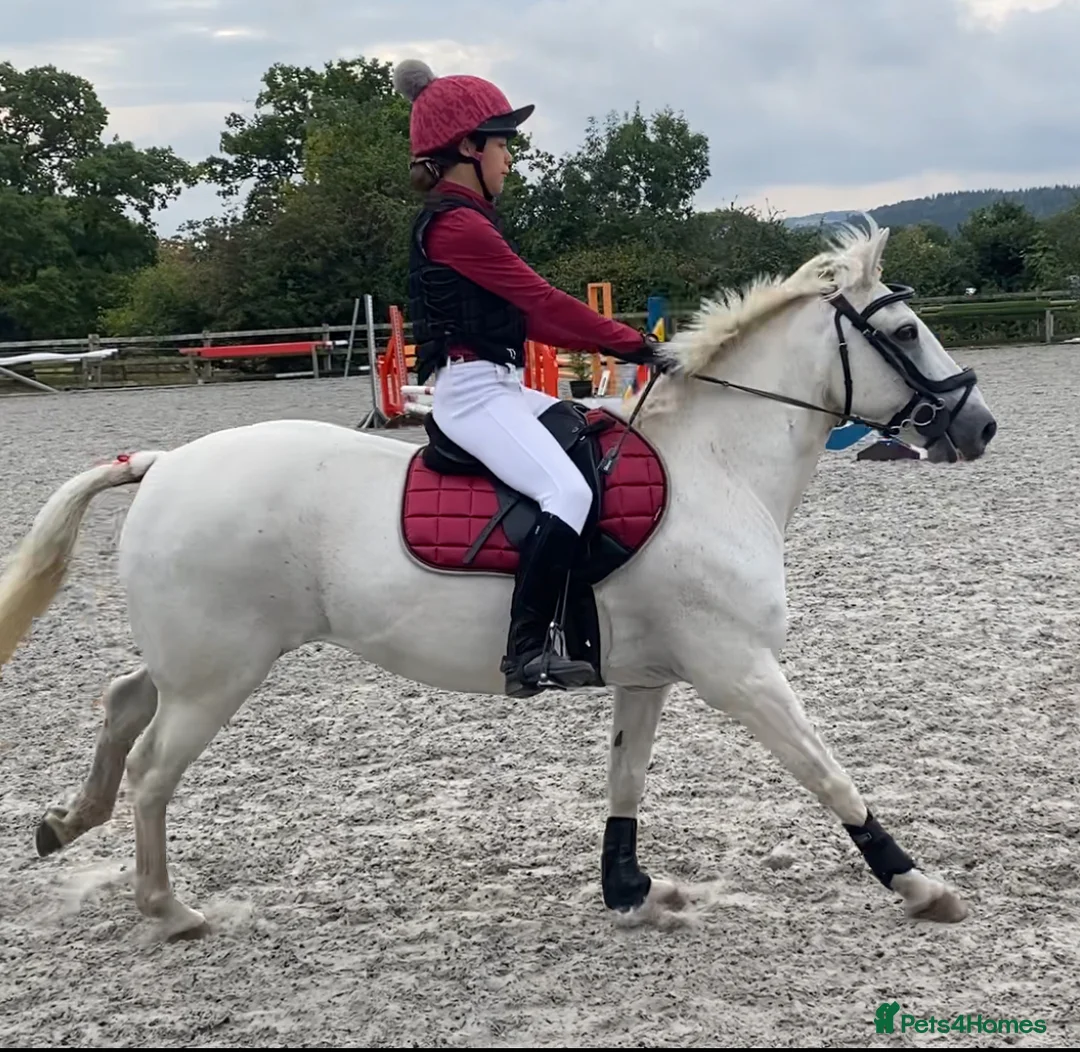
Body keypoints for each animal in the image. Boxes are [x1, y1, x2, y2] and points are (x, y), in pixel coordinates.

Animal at [0, 218, 998, 940]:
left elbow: (626, 780)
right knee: (153, 769)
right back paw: (168, 910)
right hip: (220, 672)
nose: (979, 425)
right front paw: (921, 886)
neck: (716, 465)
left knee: (124, 699)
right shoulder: (741, 671)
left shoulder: (648, 677)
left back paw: (65, 821)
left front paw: (630, 890)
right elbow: (829, 776)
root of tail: (165, 462)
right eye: (904, 331)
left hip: (196, 658)